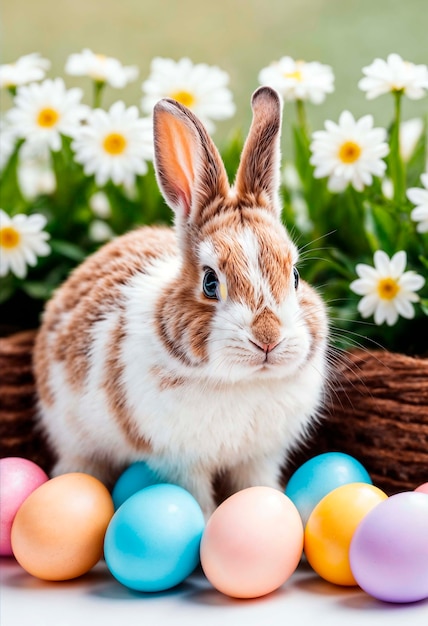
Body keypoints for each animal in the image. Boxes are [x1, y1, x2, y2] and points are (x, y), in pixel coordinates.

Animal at [33, 88, 330, 516]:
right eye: (210, 282)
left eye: (295, 276)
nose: (268, 338)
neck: (241, 382)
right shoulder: (180, 462)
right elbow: (195, 498)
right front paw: (205, 524)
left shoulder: (258, 458)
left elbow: (257, 487)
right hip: (76, 439)